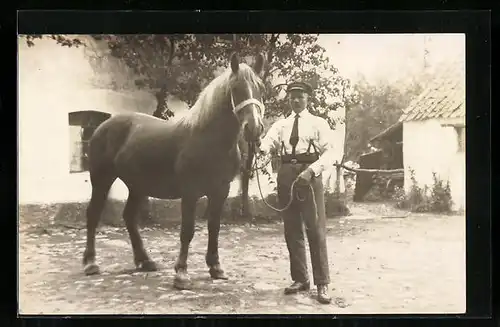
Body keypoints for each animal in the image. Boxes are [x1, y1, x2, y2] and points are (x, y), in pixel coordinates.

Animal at [82, 52, 268, 290]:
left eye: (260, 87)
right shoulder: (190, 192)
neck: (209, 140)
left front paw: (216, 268)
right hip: (102, 179)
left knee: (129, 217)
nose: (254, 128)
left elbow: (214, 228)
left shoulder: (220, 191)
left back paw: (145, 261)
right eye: (236, 88)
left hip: (137, 186)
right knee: (93, 214)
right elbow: (187, 231)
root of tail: (102, 126)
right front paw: (181, 274)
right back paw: (90, 263)